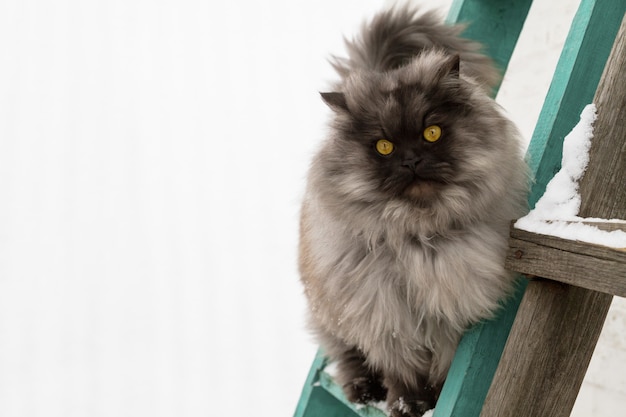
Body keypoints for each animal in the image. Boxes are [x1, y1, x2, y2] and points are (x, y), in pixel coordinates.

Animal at [298, 6, 528, 416]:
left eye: (431, 133)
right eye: (384, 147)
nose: (411, 161)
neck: (419, 234)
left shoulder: (450, 314)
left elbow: (441, 368)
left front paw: (433, 399)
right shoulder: (384, 319)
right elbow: (401, 369)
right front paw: (406, 404)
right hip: (333, 318)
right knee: (346, 356)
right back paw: (364, 390)